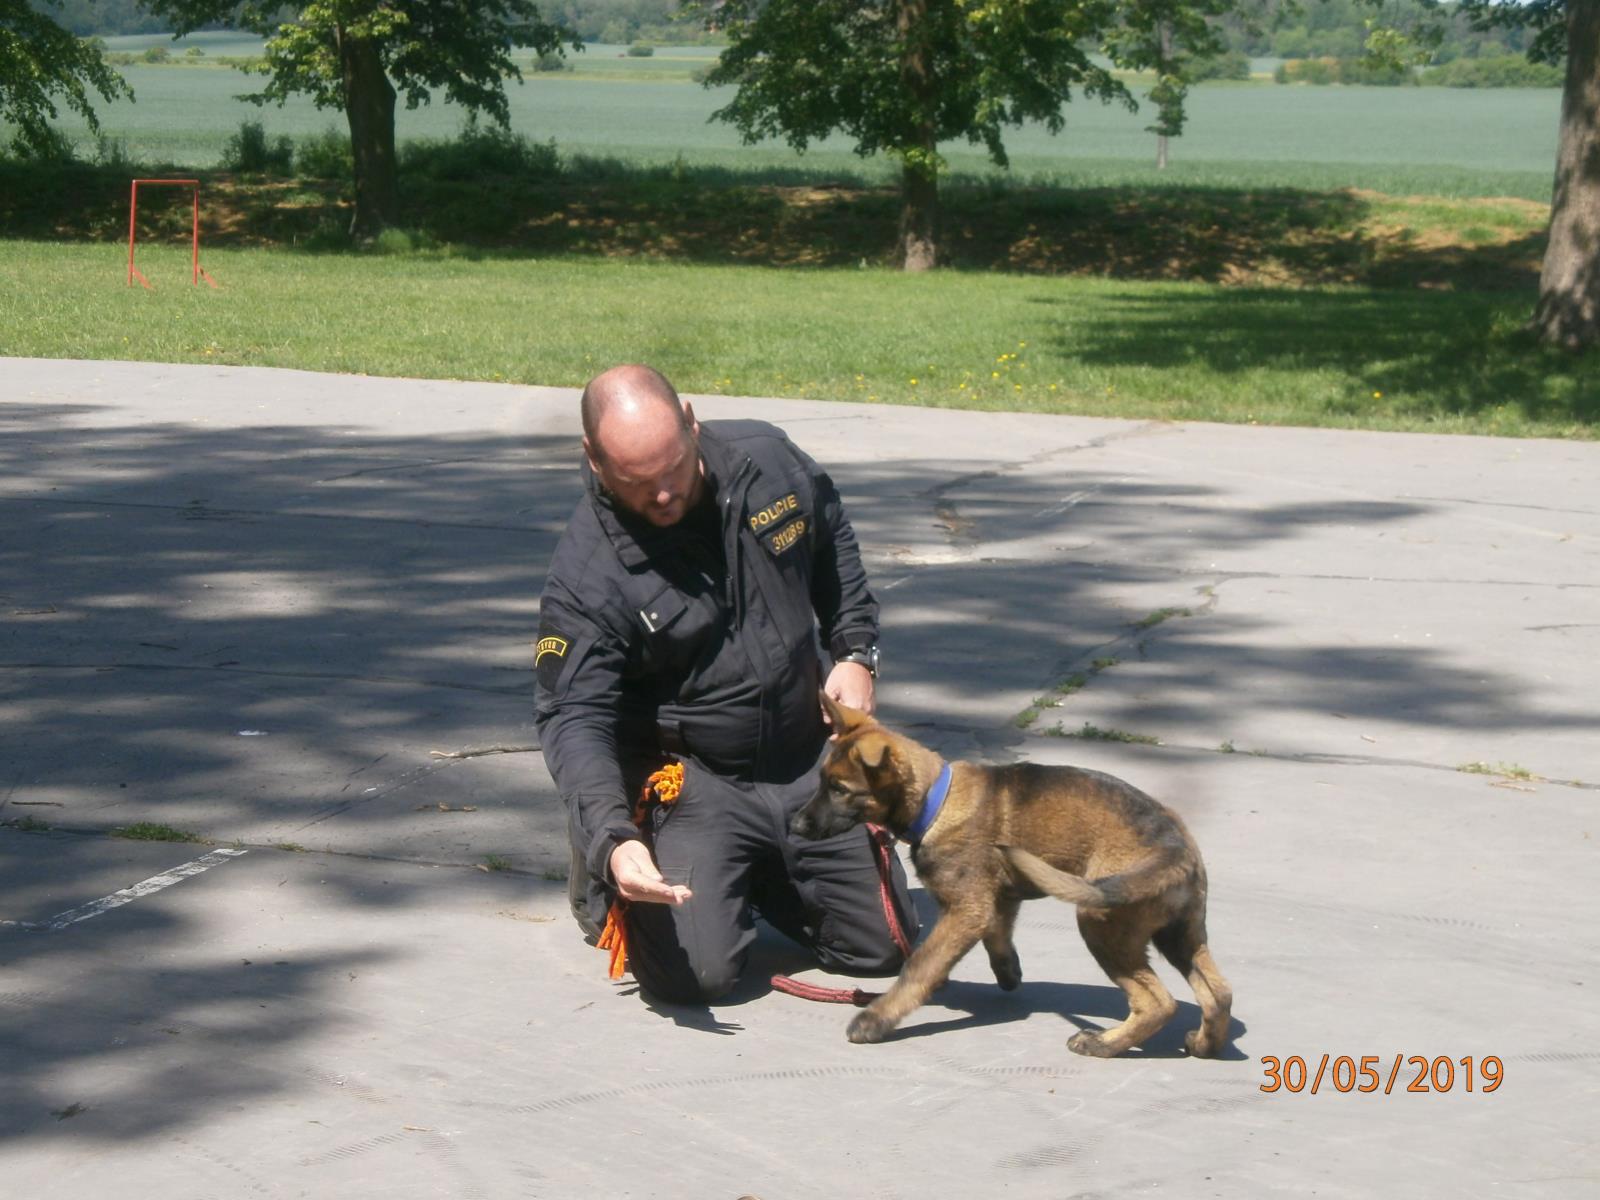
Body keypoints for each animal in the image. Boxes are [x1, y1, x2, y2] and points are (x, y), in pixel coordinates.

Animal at [793, 694, 1228, 1062]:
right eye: (822, 782)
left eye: (840, 789)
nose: (795, 825)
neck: (936, 802)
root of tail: (1174, 848)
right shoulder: (994, 900)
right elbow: (996, 934)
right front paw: (1008, 971)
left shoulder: (966, 910)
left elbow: (919, 966)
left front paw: (877, 1019)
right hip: (1180, 932)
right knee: (1219, 993)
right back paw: (1205, 1044)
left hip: (1101, 921)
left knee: (1159, 1003)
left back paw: (1102, 1044)